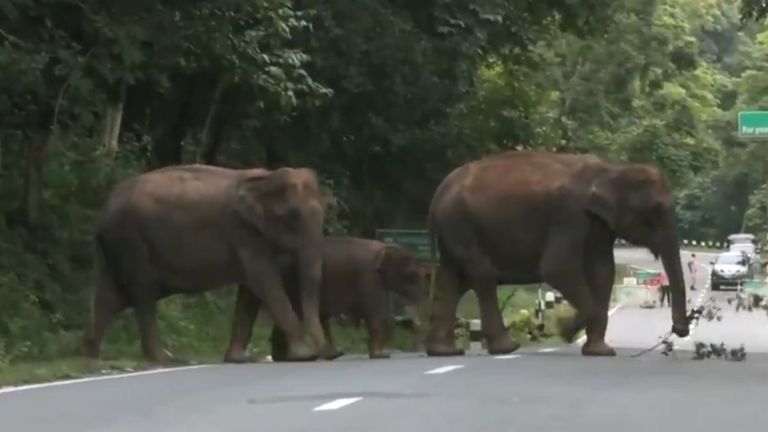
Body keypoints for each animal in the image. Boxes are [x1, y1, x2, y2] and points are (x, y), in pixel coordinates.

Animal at [82, 164, 332, 362]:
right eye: (292, 217)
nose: (329, 353)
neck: (267, 177)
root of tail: (103, 212)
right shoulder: (242, 232)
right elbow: (264, 282)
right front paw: (304, 355)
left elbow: (251, 290)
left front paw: (237, 359)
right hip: (130, 239)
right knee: (143, 292)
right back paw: (165, 360)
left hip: (115, 244)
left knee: (110, 296)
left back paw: (91, 356)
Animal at [272, 236, 426, 358]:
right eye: (411, 275)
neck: (383, 247)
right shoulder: (369, 276)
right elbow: (378, 315)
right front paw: (380, 355)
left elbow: (386, 315)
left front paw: (379, 353)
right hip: (291, 281)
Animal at [426, 150, 688, 356]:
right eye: (655, 210)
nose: (680, 330)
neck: (611, 170)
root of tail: (439, 192)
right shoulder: (569, 216)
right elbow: (557, 268)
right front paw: (566, 332)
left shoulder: (600, 225)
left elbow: (603, 272)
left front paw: (600, 352)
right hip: (460, 224)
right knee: (482, 275)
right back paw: (507, 348)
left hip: (453, 230)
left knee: (451, 281)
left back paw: (445, 352)